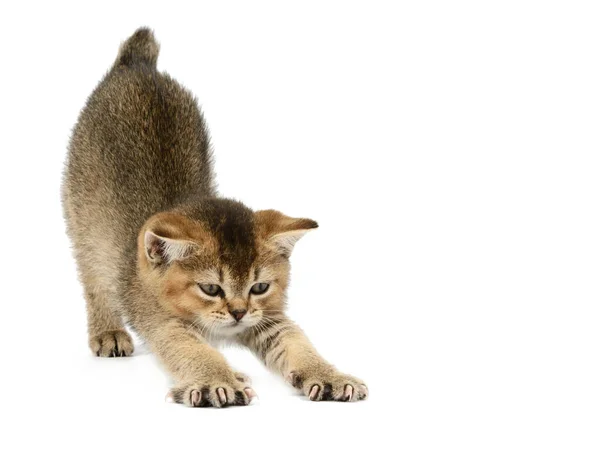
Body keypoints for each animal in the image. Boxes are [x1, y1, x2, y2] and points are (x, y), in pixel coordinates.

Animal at [63, 27, 368, 408]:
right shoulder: (162, 319)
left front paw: (328, 375)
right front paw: (216, 380)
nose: (238, 312)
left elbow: (298, 342)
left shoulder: (269, 318)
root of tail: (137, 64)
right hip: (85, 222)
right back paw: (109, 333)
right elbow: (193, 349)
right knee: (93, 279)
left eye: (259, 287)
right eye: (210, 288)